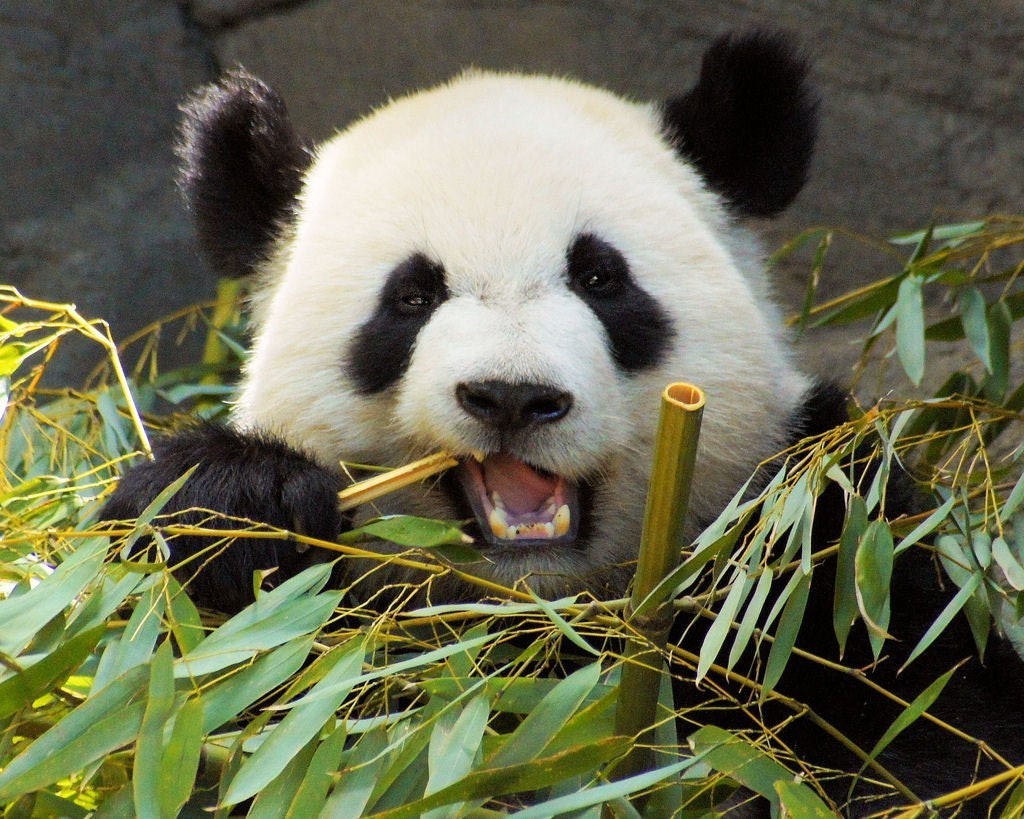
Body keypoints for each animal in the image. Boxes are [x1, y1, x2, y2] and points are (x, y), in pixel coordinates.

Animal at [101, 30, 1024, 810]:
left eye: (601, 277)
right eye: (412, 295)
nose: (511, 394)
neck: (543, 613)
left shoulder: (816, 545)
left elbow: (934, 715)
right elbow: (174, 704)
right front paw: (236, 508)